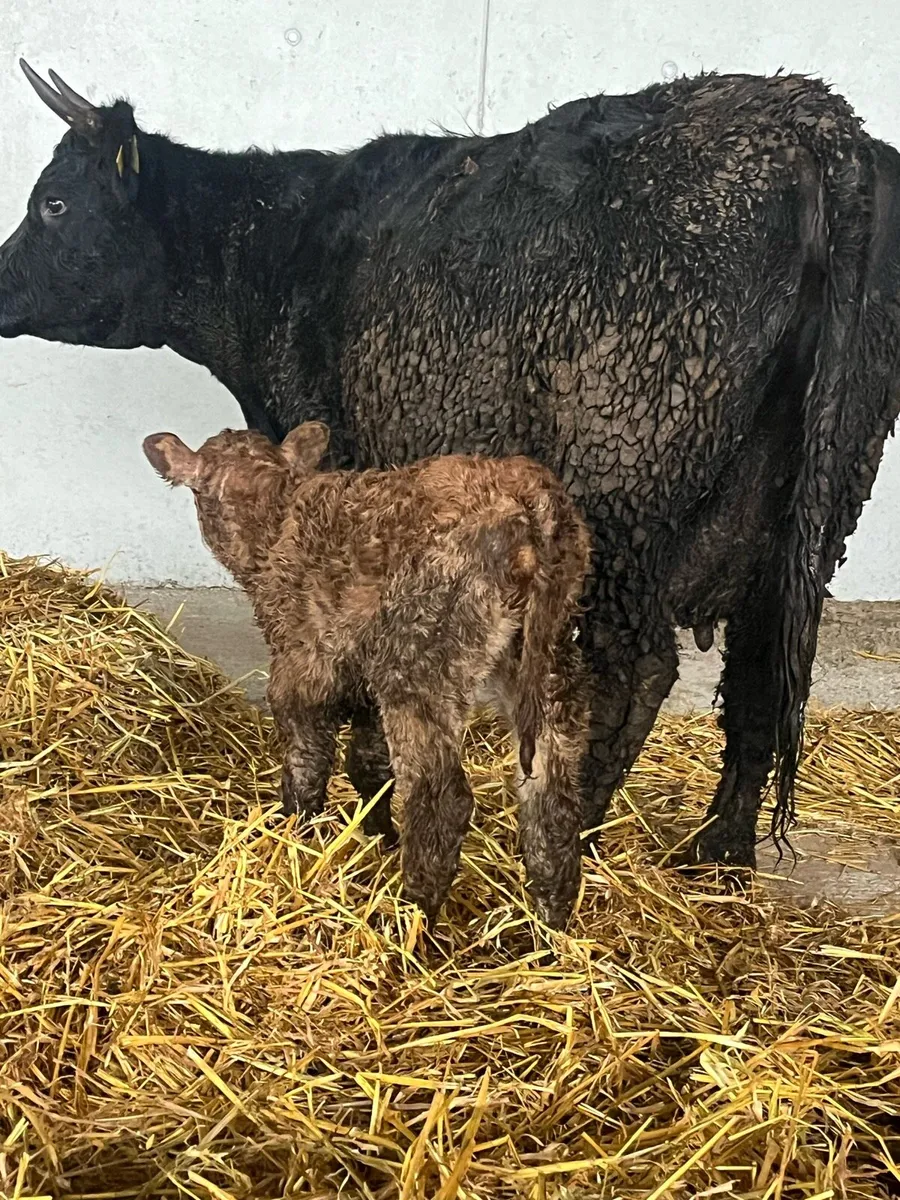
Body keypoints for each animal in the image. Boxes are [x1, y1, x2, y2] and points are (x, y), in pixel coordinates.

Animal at [2, 63, 899, 873]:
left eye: (53, 202)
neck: (282, 253)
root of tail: (811, 124)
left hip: (625, 494)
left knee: (637, 674)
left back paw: (571, 848)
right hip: (805, 518)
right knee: (761, 679)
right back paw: (718, 857)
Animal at [142, 422, 592, 928]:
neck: (274, 516)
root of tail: (530, 495)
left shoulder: (303, 658)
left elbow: (308, 755)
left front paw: (296, 829)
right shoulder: (361, 671)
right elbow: (368, 762)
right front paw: (378, 836)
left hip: (421, 654)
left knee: (441, 800)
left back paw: (411, 918)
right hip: (548, 656)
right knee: (552, 791)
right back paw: (552, 925)